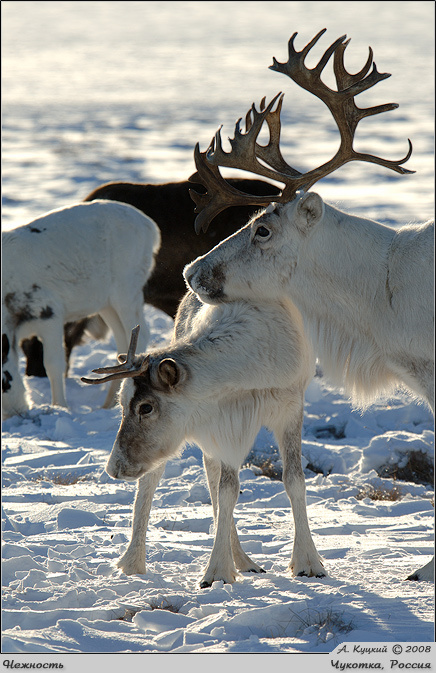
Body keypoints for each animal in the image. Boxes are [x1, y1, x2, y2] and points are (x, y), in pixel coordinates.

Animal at [2, 200, 160, 419]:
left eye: (4, 382)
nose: (14, 412)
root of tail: (151, 227)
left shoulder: (48, 312)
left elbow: (53, 364)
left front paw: (60, 406)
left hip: (127, 290)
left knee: (142, 332)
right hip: (106, 303)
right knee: (123, 339)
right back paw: (109, 403)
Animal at [81, 290, 325, 587]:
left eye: (146, 407)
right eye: (121, 403)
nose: (113, 468)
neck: (249, 370)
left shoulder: (289, 409)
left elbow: (294, 480)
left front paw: (309, 563)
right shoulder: (225, 426)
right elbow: (227, 491)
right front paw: (217, 571)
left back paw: (244, 562)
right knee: (155, 480)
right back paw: (132, 562)